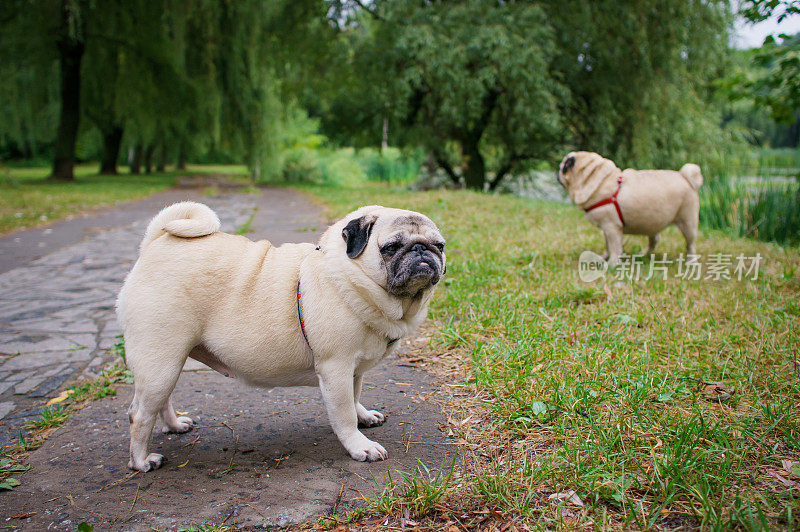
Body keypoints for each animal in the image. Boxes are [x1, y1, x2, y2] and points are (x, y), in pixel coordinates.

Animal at [115, 202, 446, 472]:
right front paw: (359, 446)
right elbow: (343, 413)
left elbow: (355, 400)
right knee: (139, 414)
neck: (348, 280)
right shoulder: (336, 368)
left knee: (161, 402)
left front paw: (364, 416)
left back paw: (174, 425)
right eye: (390, 247)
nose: (422, 250)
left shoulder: (354, 371)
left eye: (440, 246)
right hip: (161, 361)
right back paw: (141, 461)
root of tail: (155, 243)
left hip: (168, 362)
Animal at [556, 152, 700, 264]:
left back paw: (690, 261)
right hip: (653, 222)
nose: (558, 172)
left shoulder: (612, 227)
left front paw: (612, 263)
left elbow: (615, 248)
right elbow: (608, 245)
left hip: (688, 223)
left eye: (563, 167)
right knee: (654, 240)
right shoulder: (606, 229)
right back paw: (643, 254)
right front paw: (604, 256)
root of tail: (684, 176)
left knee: (690, 244)